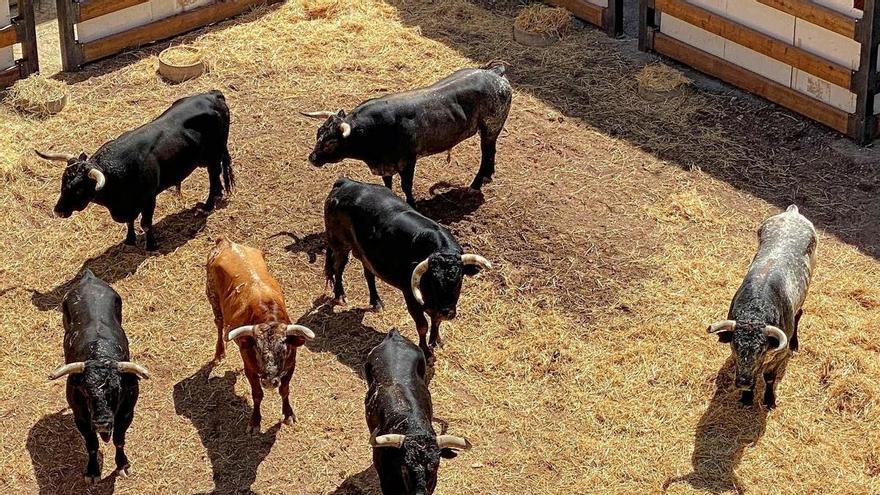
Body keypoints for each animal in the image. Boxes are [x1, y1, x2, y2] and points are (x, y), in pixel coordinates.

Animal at [37, 90, 234, 252]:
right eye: (63, 182)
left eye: (79, 190)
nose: (58, 211)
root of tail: (212, 95)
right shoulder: (129, 205)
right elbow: (130, 221)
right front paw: (130, 239)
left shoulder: (148, 199)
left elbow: (145, 223)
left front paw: (151, 245)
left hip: (214, 155)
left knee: (213, 177)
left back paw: (207, 205)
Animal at [49, 272, 150, 484]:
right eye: (86, 392)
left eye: (117, 390)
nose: (102, 423)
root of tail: (88, 277)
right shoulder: (81, 418)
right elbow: (92, 445)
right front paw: (93, 471)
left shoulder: (126, 414)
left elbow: (119, 440)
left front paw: (122, 465)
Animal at [207, 237, 314, 434]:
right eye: (257, 348)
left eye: (283, 349)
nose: (270, 381)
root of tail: (226, 241)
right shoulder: (250, 369)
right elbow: (257, 394)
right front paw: (255, 421)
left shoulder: (290, 366)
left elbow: (285, 390)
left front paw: (288, 414)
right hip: (213, 298)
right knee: (218, 324)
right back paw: (219, 354)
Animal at [302, 62, 512, 207]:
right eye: (318, 133)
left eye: (330, 143)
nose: (312, 158)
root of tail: (494, 72)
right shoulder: (386, 165)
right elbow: (387, 183)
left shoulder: (409, 161)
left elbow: (406, 186)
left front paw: (411, 203)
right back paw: (487, 177)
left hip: (491, 128)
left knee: (487, 153)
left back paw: (475, 185)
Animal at [708, 205, 820, 410]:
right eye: (735, 345)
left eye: (761, 349)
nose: (743, 382)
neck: (756, 311)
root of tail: (792, 212)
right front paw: (746, 397)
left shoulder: (779, 356)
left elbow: (769, 377)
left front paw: (769, 400)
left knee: (799, 313)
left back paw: (795, 343)